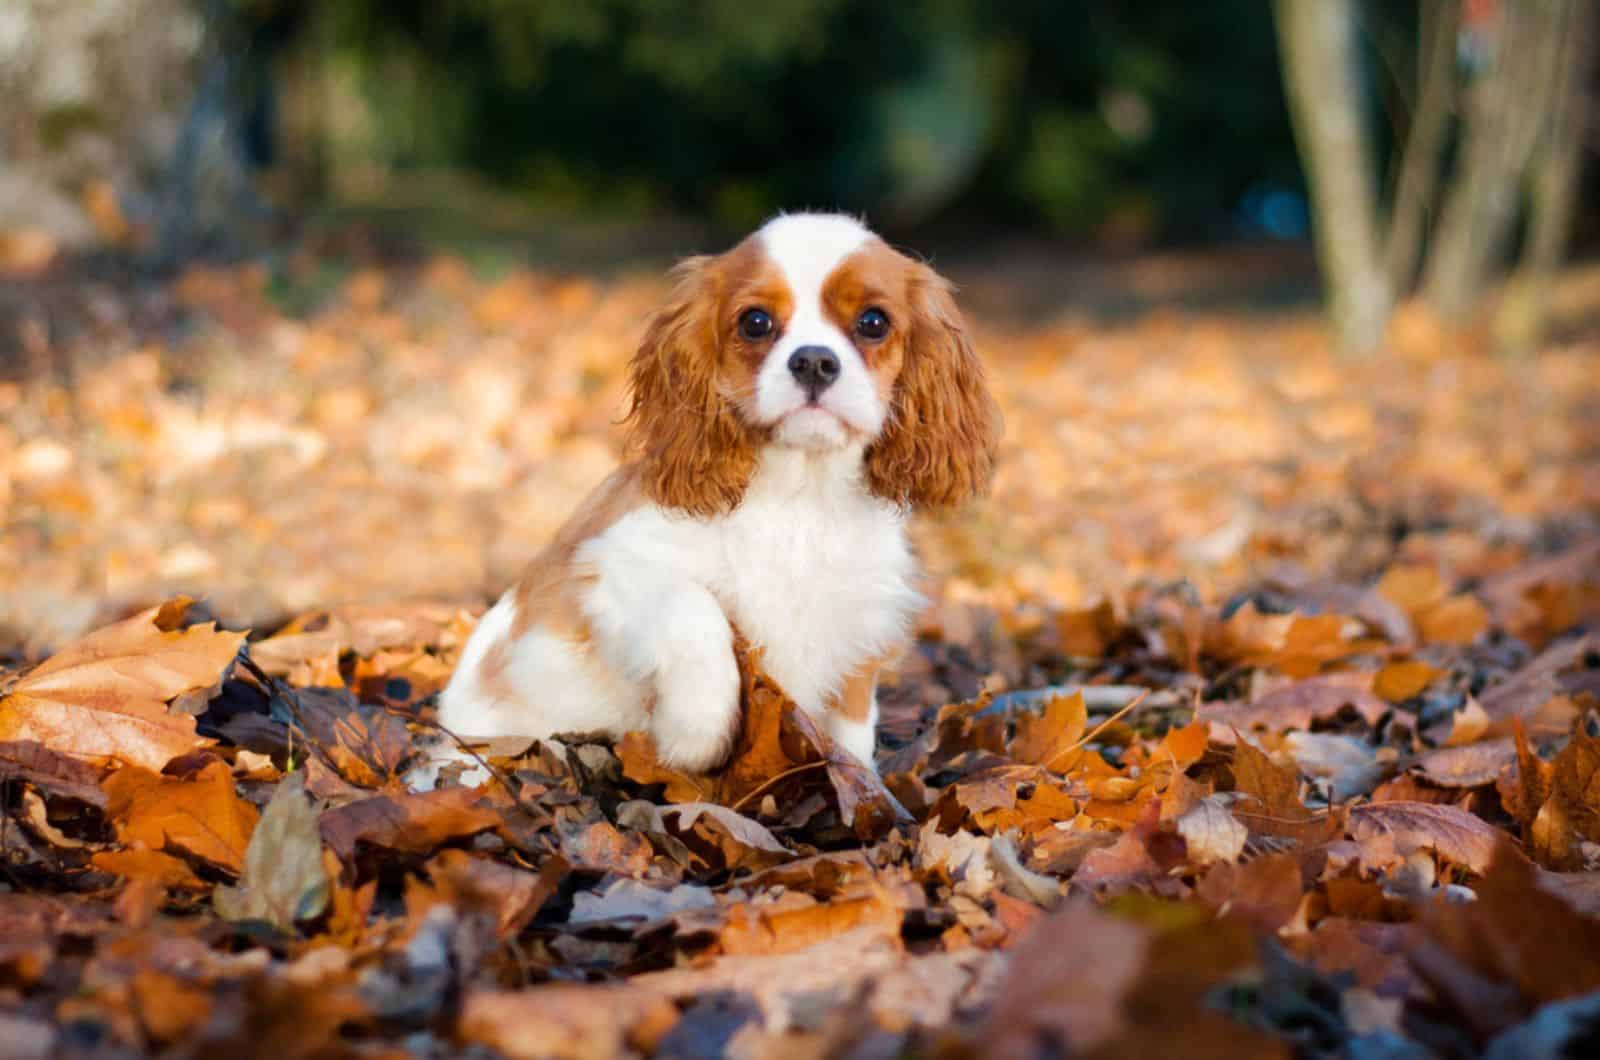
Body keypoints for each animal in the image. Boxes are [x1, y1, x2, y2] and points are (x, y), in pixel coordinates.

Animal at [432, 214, 992, 771]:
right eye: (755, 323)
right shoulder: (607, 566)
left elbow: (851, 727)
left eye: (874, 322)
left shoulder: (857, 617)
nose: (814, 361)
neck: (801, 494)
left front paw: (858, 781)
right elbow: (695, 609)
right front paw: (695, 736)